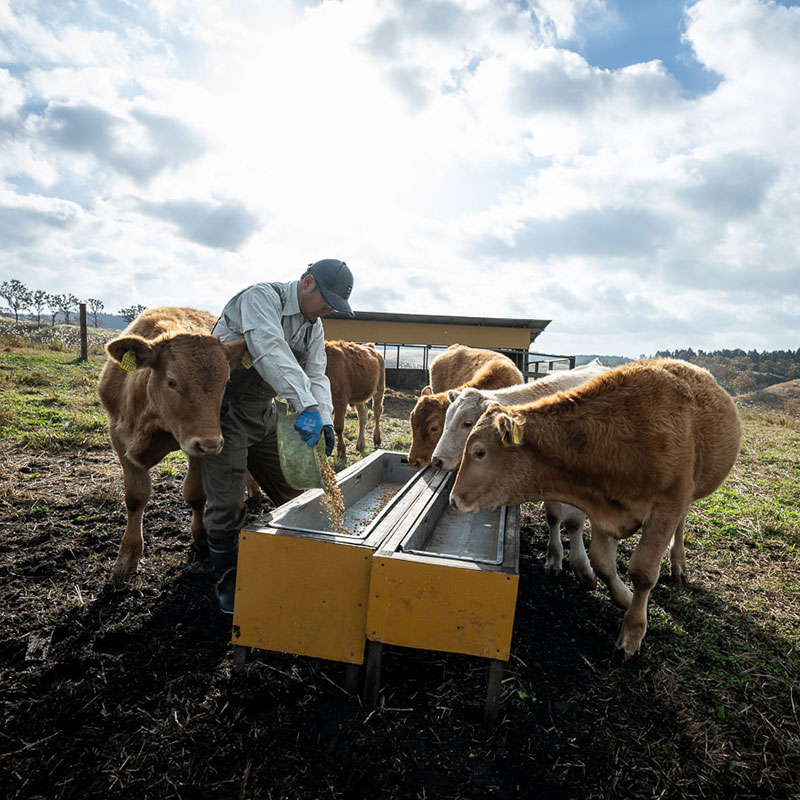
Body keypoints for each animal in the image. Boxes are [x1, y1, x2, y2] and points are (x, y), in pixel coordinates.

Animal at [97, 310, 247, 584]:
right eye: (172, 382)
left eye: (226, 381)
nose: (212, 444)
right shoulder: (118, 438)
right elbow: (135, 497)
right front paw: (127, 557)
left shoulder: (196, 446)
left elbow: (195, 494)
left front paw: (200, 539)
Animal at [432, 360, 608, 584]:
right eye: (446, 420)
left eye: (468, 423)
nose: (436, 460)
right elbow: (553, 516)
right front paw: (554, 558)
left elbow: (575, 523)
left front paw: (583, 568)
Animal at [450, 360, 744, 660]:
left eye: (479, 452)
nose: (454, 499)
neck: (612, 440)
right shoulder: (603, 513)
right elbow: (602, 564)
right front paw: (625, 597)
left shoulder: (667, 506)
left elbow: (643, 572)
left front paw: (632, 633)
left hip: (689, 494)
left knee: (681, 524)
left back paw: (679, 564)